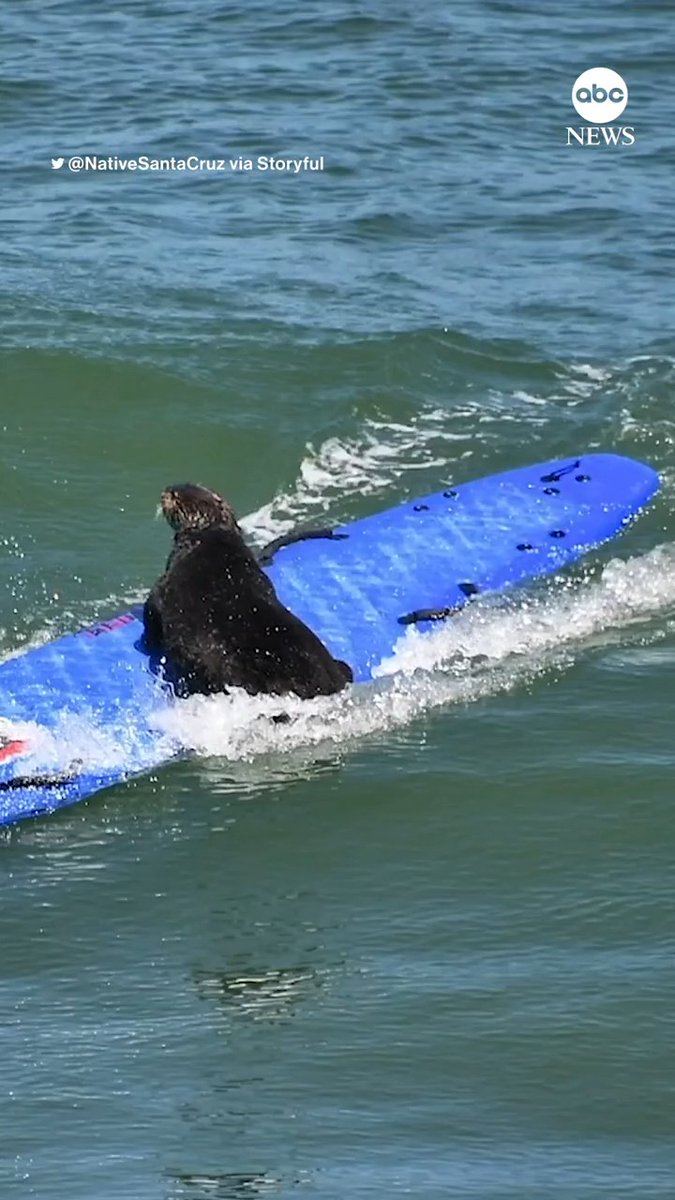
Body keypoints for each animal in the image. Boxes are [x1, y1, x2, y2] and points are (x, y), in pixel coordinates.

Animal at [143, 483, 353, 700]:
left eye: (175, 493)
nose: (167, 489)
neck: (210, 538)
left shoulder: (167, 580)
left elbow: (152, 608)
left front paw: (148, 643)